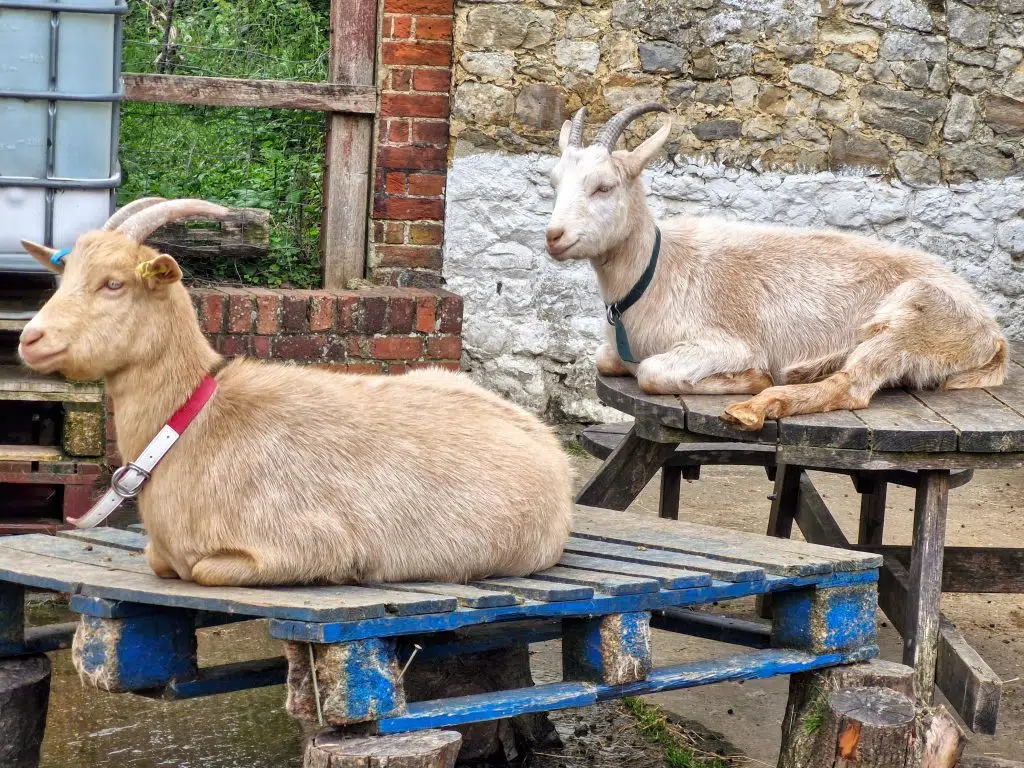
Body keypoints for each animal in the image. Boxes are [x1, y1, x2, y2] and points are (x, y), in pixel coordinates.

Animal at [18, 199, 573, 587]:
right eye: (63, 277)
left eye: (113, 283)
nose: (30, 338)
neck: (190, 428)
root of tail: (549, 444)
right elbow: (160, 560)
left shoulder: (304, 544)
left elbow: (204, 569)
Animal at [545, 104, 1007, 430]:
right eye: (555, 183)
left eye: (605, 186)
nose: (554, 235)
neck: (656, 272)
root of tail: (992, 334)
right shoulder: (617, 348)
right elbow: (606, 359)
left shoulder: (726, 342)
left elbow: (651, 373)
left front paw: (752, 378)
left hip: (914, 319)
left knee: (853, 385)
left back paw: (757, 406)